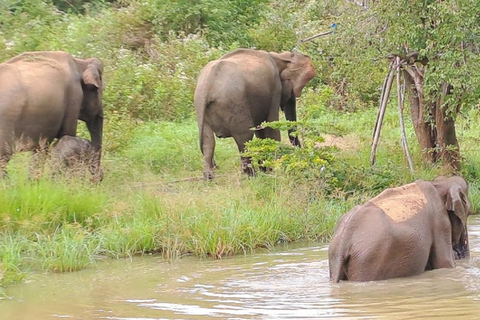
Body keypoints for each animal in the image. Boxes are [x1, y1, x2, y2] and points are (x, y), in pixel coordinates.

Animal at [193, 47, 316, 179]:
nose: (303, 164)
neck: (279, 56)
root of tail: (208, 85)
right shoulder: (275, 88)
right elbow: (271, 127)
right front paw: (272, 169)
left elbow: (261, 129)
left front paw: (266, 169)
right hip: (235, 102)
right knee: (244, 138)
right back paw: (252, 176)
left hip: (201, 106)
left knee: (208, 142)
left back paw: (209, 178)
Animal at [328, 175, 470, 282]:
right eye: (468, 213)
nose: (460, 254)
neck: (438, 183)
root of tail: (343, 242)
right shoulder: (439, 220)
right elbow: (444, 263)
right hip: (368, 260)